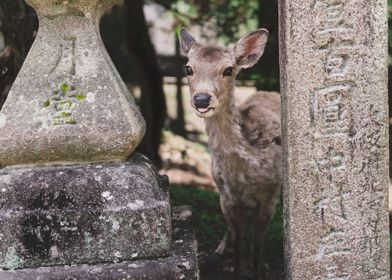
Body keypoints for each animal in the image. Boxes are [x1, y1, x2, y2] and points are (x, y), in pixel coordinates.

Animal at [181, 29, 282, 280]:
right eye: (188, 68)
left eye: (228, 70)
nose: (202, 99)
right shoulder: (225, 198)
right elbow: (239, 246)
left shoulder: (269, 199)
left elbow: (256, 250)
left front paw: (257, 272)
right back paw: (218, 250)